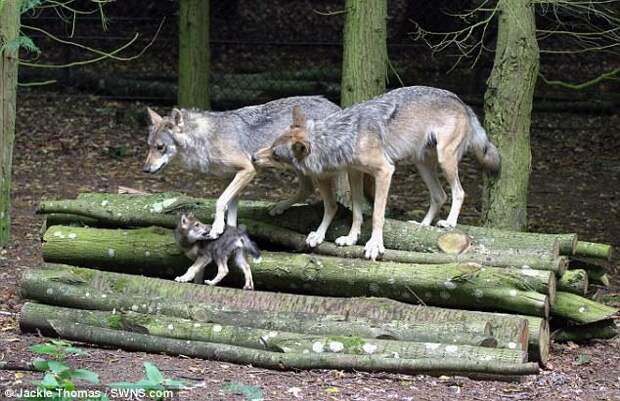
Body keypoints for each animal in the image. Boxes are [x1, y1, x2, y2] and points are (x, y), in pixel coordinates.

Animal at [143, 95, 342, 238]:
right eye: (149, 146)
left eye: (160, 147)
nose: (145, 169)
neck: (206, 140)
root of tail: (337, 108)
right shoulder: (230, 178)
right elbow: (230, 210)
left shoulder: (247, 170)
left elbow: (220, 202)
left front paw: (216, 228)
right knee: (306, 190)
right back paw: (279, 207)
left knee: (329, 203)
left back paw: (318, 236)